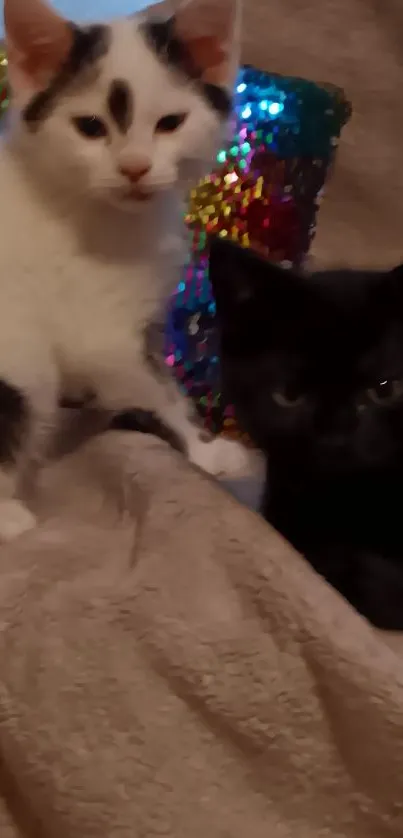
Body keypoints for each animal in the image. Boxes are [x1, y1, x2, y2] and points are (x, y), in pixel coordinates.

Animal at [0, 0, 249, 544]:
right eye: (90, 128)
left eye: (170, 123)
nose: (134, 167)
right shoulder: (101, 331)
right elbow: (159, 390)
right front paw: (204, 453)